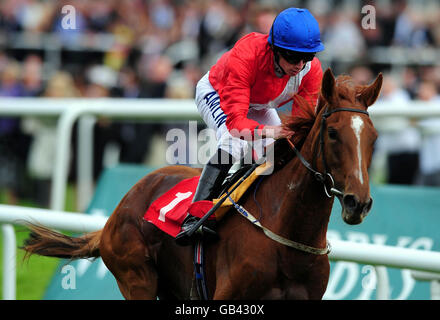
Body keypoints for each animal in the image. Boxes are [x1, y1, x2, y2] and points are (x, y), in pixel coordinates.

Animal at [22, 68, 384, 300]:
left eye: (374, 137)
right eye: (333, 133)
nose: (358, 202)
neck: (289, 237)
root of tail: (117, 212)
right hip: (135, 278)